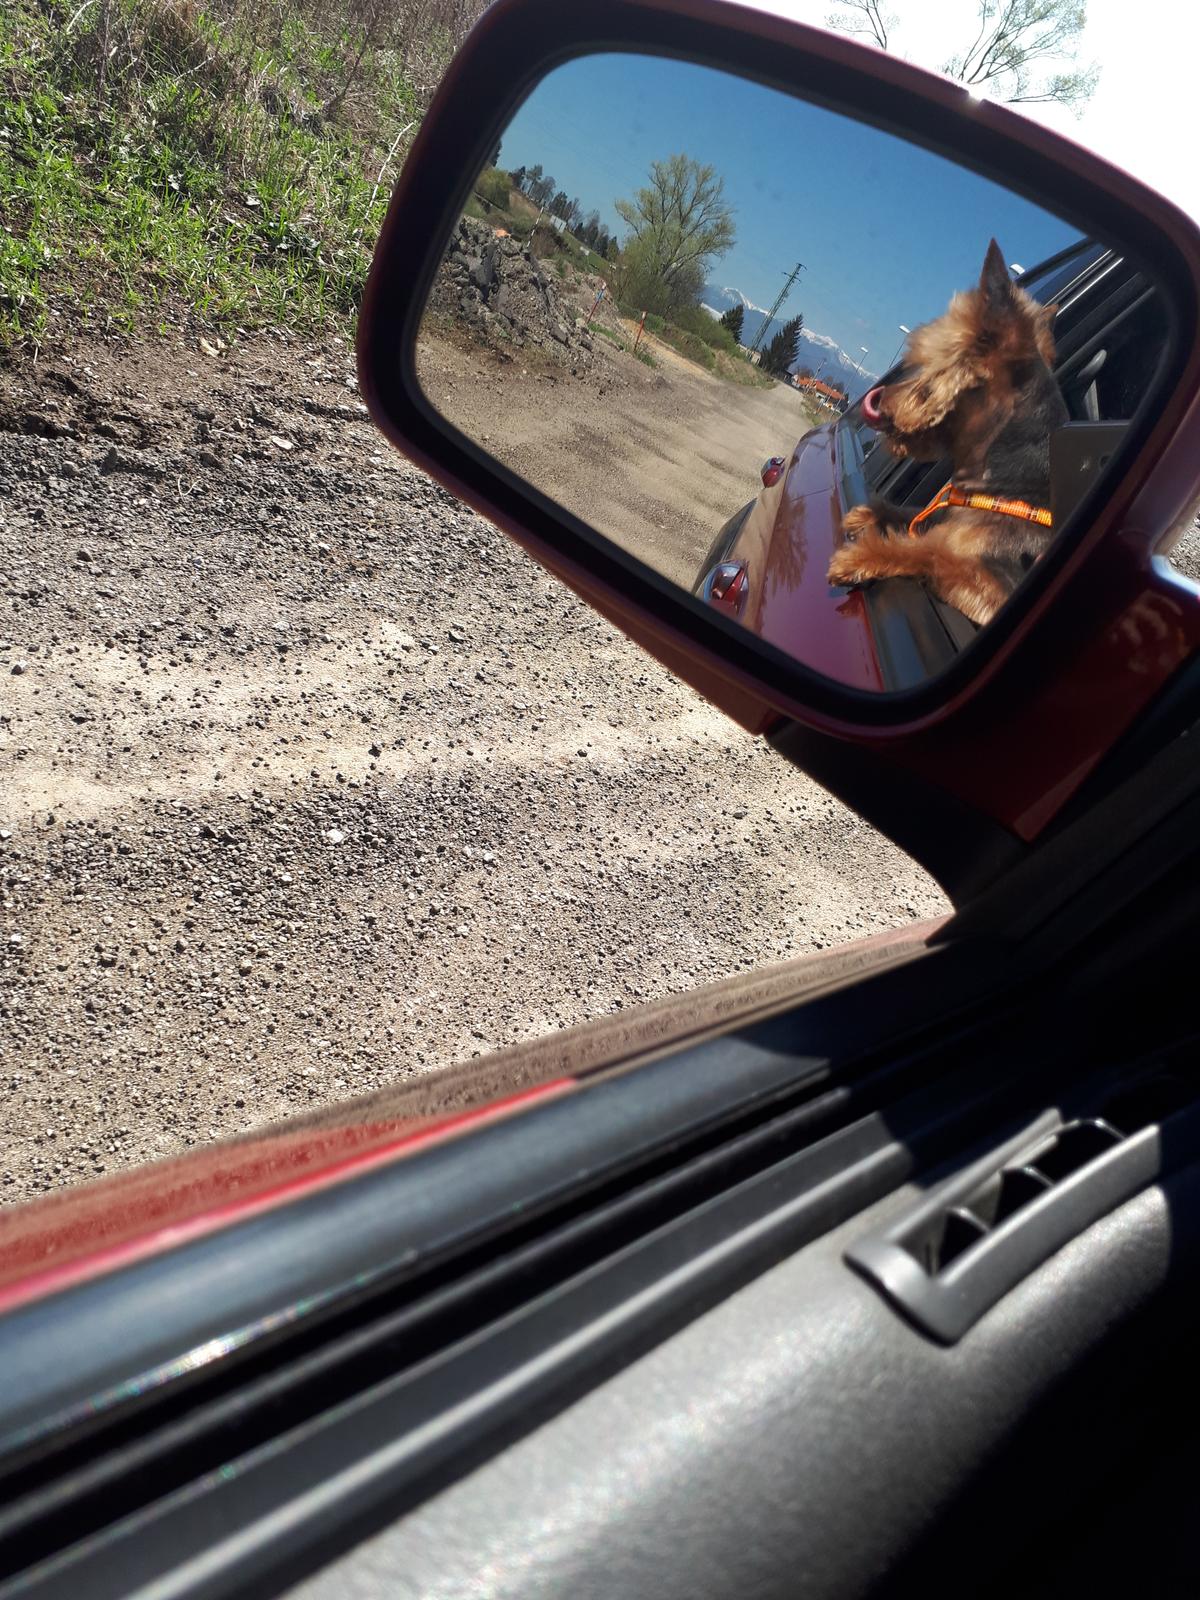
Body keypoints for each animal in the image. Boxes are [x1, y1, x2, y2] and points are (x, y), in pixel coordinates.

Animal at [826, 239, 1067, 626]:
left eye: (934, 370)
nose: (880, 398)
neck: (1005, 481)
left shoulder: (992, 587)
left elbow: (929, 551)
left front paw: (857, 558)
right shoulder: (937, 514)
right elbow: (909, 517)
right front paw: (865, 515)